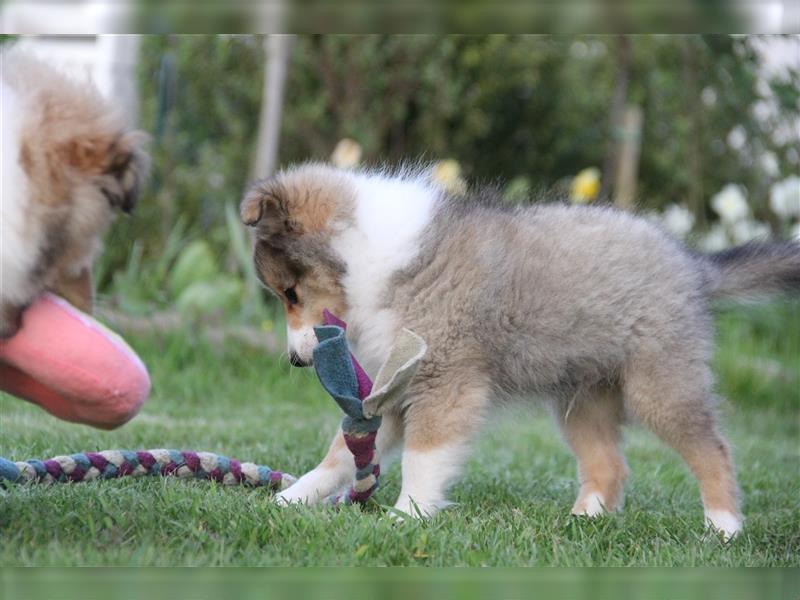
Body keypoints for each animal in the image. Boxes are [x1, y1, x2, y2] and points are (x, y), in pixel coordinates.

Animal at [239, 162, 800, 540]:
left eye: (290, 293)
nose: (297, 360)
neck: (368, 256)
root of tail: (693, 265)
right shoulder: (395, 387)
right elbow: (342, 451)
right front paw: (290, 498)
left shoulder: (444, 380)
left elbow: (424, 457)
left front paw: (408, 515)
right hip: (582, 399)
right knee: (609, 465)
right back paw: (583, 521)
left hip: (660, 385)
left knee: (714, 450)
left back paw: (723, 526)